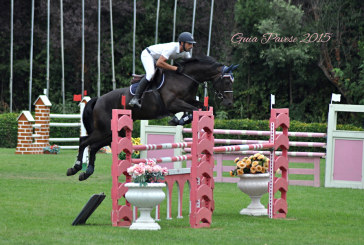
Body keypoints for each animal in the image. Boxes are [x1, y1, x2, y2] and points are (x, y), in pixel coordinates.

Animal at [66, 56, 239, 182]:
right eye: (226, 81)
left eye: (232, 81)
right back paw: (75, 168)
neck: (185, 78)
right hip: (103, 130)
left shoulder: (189, 101)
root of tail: (98, 100)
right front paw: (178, 120)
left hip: (112, 133)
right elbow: (193, 110)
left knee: (94, 146)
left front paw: (181, 120)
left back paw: (86, 172)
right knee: (84, 141)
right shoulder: (173, 103)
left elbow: (201, 108)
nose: (229, 103)